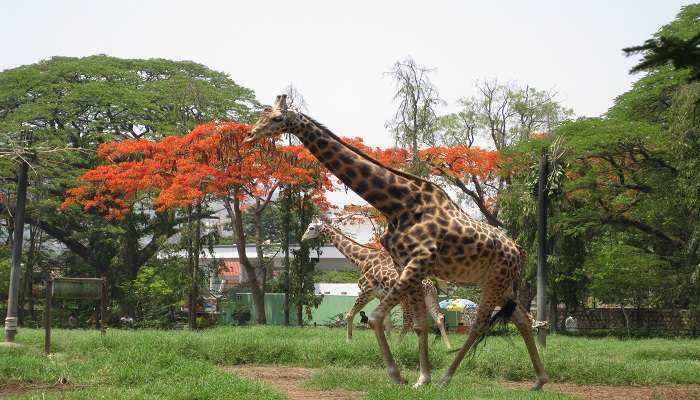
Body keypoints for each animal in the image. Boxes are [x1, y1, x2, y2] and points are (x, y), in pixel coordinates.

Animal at [300, 219, 452, 346]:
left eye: (311, 228)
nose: (302, 238)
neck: (362, 260)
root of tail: (430, 285)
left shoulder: (366, 291)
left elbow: (350, 314)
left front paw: (349, 341)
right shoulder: (381, 296)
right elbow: (386, 321)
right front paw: (387, 342)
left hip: (406, 299)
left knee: (409, 321)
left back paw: (399, 345)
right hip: (429, 298)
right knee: (438, 317)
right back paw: (447, 346)